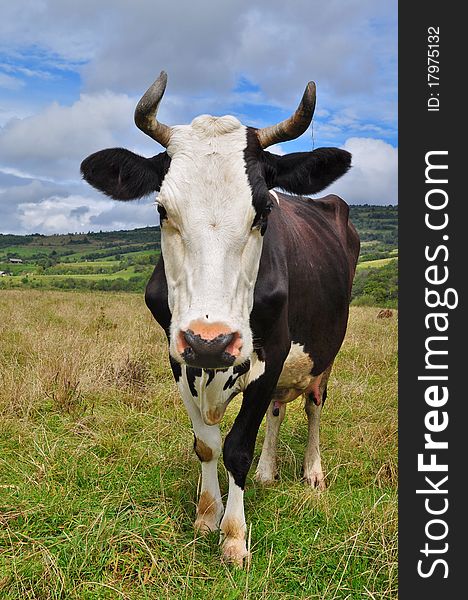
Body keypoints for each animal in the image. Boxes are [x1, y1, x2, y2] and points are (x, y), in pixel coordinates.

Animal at [80, 72, 360, 564]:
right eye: (162, 209)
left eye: (264, 210)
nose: (210, 341)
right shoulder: (178, 357)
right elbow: (206, 445)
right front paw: (207, 514)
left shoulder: (273, 351)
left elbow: (237, 448)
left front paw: (234, 535)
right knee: (277, 409)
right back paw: (269, 472)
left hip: (325, 351)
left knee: (312, 404)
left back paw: (313, 473)